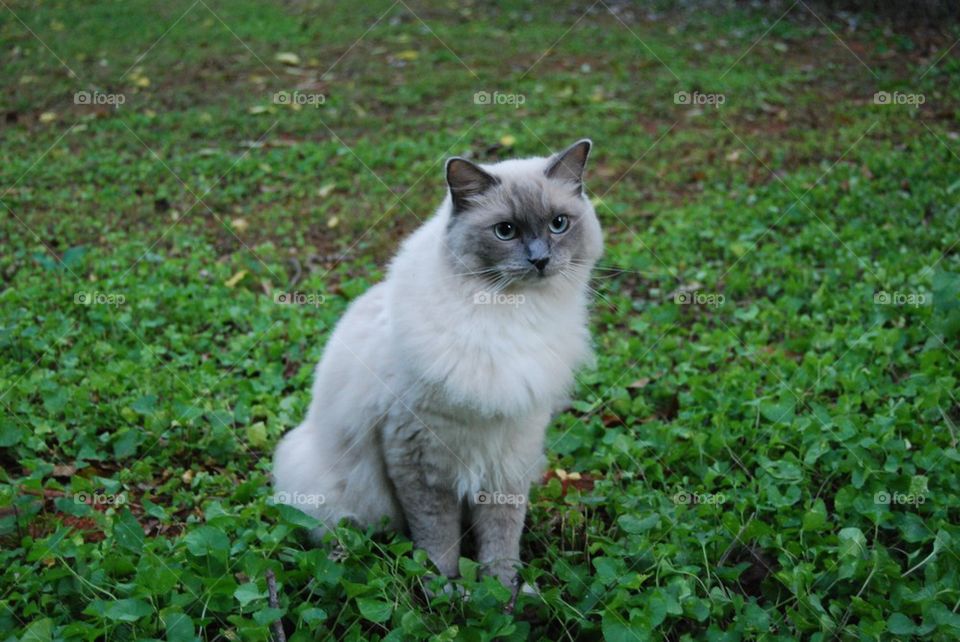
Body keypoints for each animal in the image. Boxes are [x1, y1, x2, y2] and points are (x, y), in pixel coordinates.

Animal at [272, 139, 600, 584]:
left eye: (559, 224)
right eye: (506, 231)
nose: (540, 260)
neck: (508, 314)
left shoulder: (511, 450)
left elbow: (502, 533)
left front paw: (505, 589)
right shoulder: (418, 455)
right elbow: (437, 534)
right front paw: (444, 588)